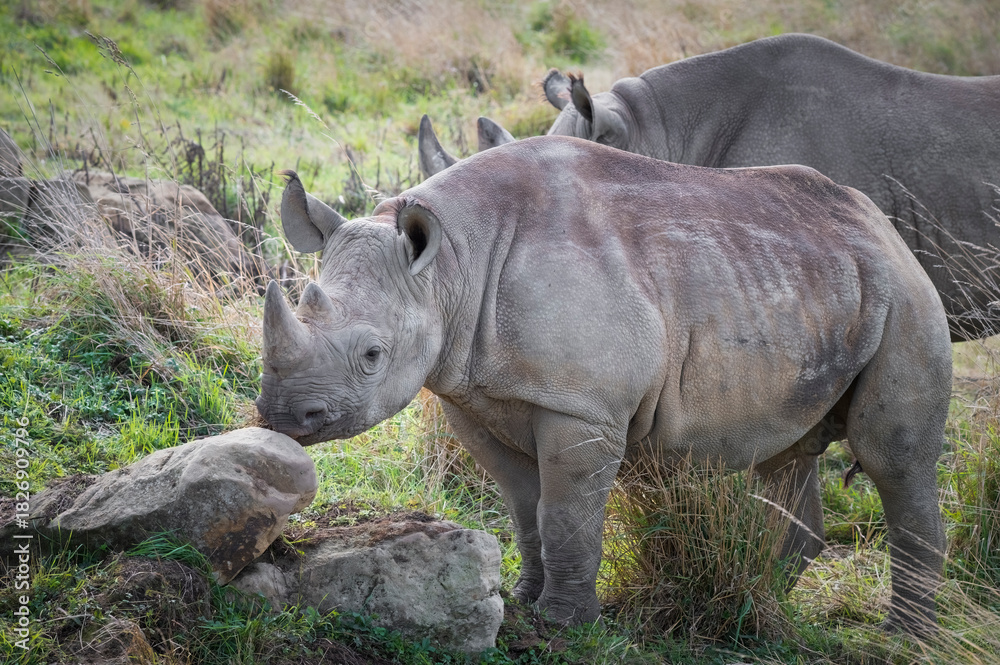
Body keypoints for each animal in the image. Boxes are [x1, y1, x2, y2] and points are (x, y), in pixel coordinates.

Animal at [257, 136, 950, 633]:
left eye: (373, 355)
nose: (285, 417)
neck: (451, 265)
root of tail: (884, 229)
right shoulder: (474, 399)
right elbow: (525, 507)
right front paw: (523, 598)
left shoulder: (583, 408)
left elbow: (565, 512)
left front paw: (564, 624)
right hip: (807, 286)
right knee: (783, 456)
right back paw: (758, 605)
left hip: (907, 298)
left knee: (894, 459)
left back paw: (905, 636)